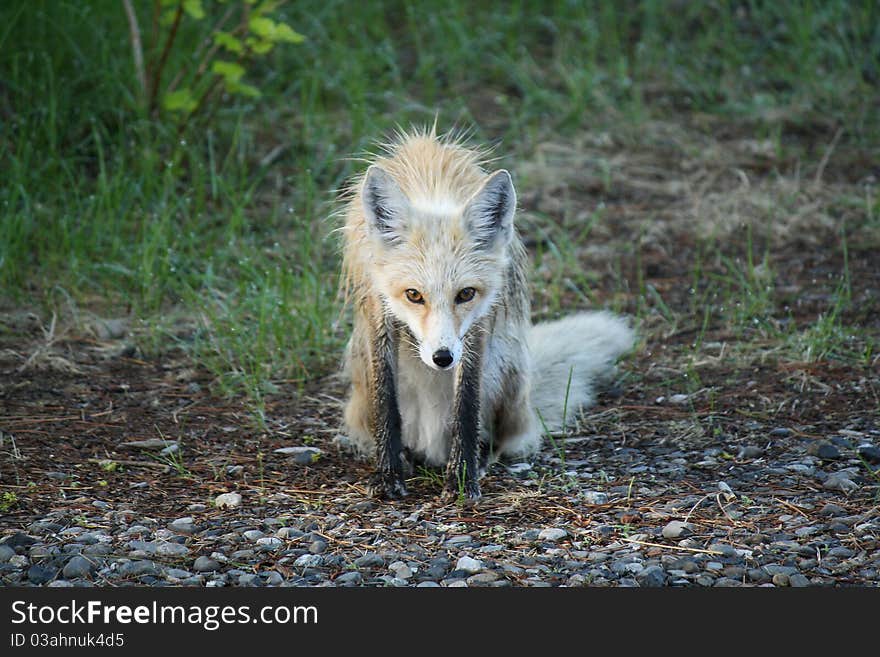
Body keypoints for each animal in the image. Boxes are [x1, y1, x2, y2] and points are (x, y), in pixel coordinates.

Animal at [336, 125, 632, 500]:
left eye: (465, 294)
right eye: (413, 295)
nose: (442, 358)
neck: (431, 180)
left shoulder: (478, 323)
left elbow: (467, 403)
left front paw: (462, 477)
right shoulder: (378, 305)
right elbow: (386, 402)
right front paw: (388, 475)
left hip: (506, 365)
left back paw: (480, 457)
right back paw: (407, 456)